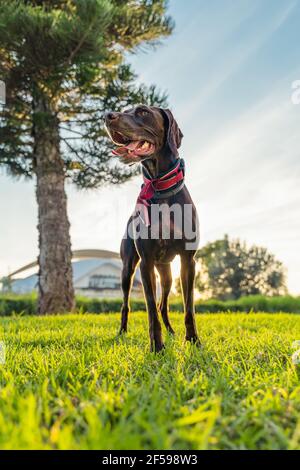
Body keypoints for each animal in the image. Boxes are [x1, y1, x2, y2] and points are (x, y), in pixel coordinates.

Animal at [104, 104, 200, 350]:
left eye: (142, 111)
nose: (108, 116)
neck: (160, 187)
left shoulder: (188, 260)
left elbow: (188, 308)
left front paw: (193, 340)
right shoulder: (145, 263)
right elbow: (149, 311)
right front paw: (157, 347)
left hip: (166, 274)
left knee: (163, 305)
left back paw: (172, 332)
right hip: (128, 270)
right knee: (127, 304)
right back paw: (122, 332)